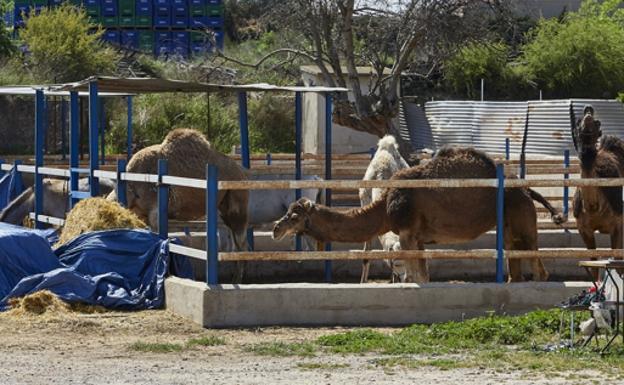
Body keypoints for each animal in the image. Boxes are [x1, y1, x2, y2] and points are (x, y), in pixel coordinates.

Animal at [572, 105, 624, 260]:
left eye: (598, 123)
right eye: (578, 123)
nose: (588, 111)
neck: (593, 206)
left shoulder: (618, 225)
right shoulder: (583, 229)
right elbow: (593, 260)